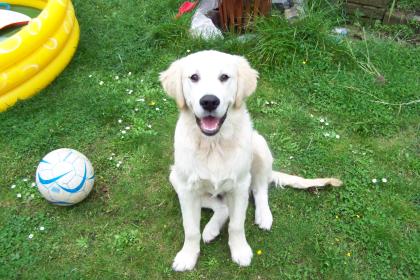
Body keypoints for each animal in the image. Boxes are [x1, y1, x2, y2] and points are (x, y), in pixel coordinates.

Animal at [159, 50, 342, 272]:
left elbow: (237, 224)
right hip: (174, 177)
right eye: (194, 77)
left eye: (224, 77)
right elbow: (191, 228)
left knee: (260, 189)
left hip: (259, 146)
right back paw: (211, 229)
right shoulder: (186, 188)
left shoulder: (239, 186)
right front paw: (187, 256)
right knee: (222, 207)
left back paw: (263, 216)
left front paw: (240, 251)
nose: (209, 101)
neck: (213, 144)